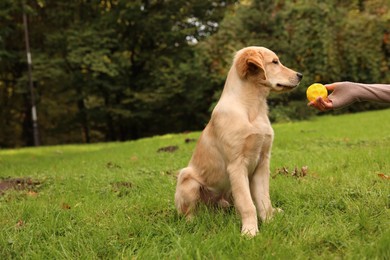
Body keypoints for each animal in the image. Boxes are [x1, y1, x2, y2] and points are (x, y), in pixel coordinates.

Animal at [175, 46, 304, 236]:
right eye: (275, 62)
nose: (300, 75)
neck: (253, 108)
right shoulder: (236, 164)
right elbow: (247, 204)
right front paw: (250, 232)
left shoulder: (262, 162)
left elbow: (263, 200)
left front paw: (270, 222)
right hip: (187, 179)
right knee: (188, 212)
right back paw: (193, 224)